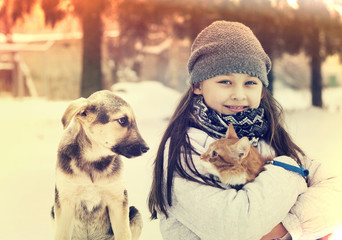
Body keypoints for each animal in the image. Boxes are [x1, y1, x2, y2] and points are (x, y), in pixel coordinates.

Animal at [51, 90, 148, 240]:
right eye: (122, 120)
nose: (146, 148)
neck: (93, 159)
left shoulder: (117, 200)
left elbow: (123, 233)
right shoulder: (65, 200)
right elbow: (62, 235)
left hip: (135, 214)